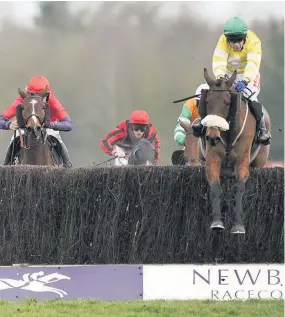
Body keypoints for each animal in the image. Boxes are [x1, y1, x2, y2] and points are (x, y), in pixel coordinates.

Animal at [181, 68, 270, 233]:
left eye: (228, 102)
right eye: (207, 102)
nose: (212, 136)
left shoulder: (242, 160)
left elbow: (239, 188)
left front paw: (238, 225)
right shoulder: (212, 159)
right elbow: (215, 188)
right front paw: (217, 222)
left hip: (259, 161)